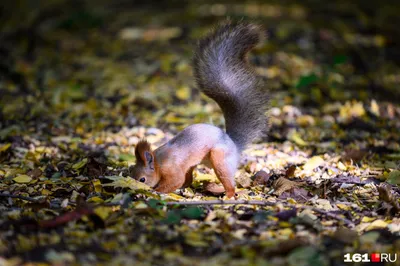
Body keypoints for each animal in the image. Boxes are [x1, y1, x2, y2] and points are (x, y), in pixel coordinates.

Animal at [130, 21, 270, 197]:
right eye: (130, 173)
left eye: (142, 179)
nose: (132, 189)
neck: (158, 162)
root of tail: (233, 144)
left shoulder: (172, 169)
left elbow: (174, 181)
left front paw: (156, 192)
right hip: (194, 164)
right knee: (189, 179)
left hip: (219, 158)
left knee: (229, 184)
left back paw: (227, 195)